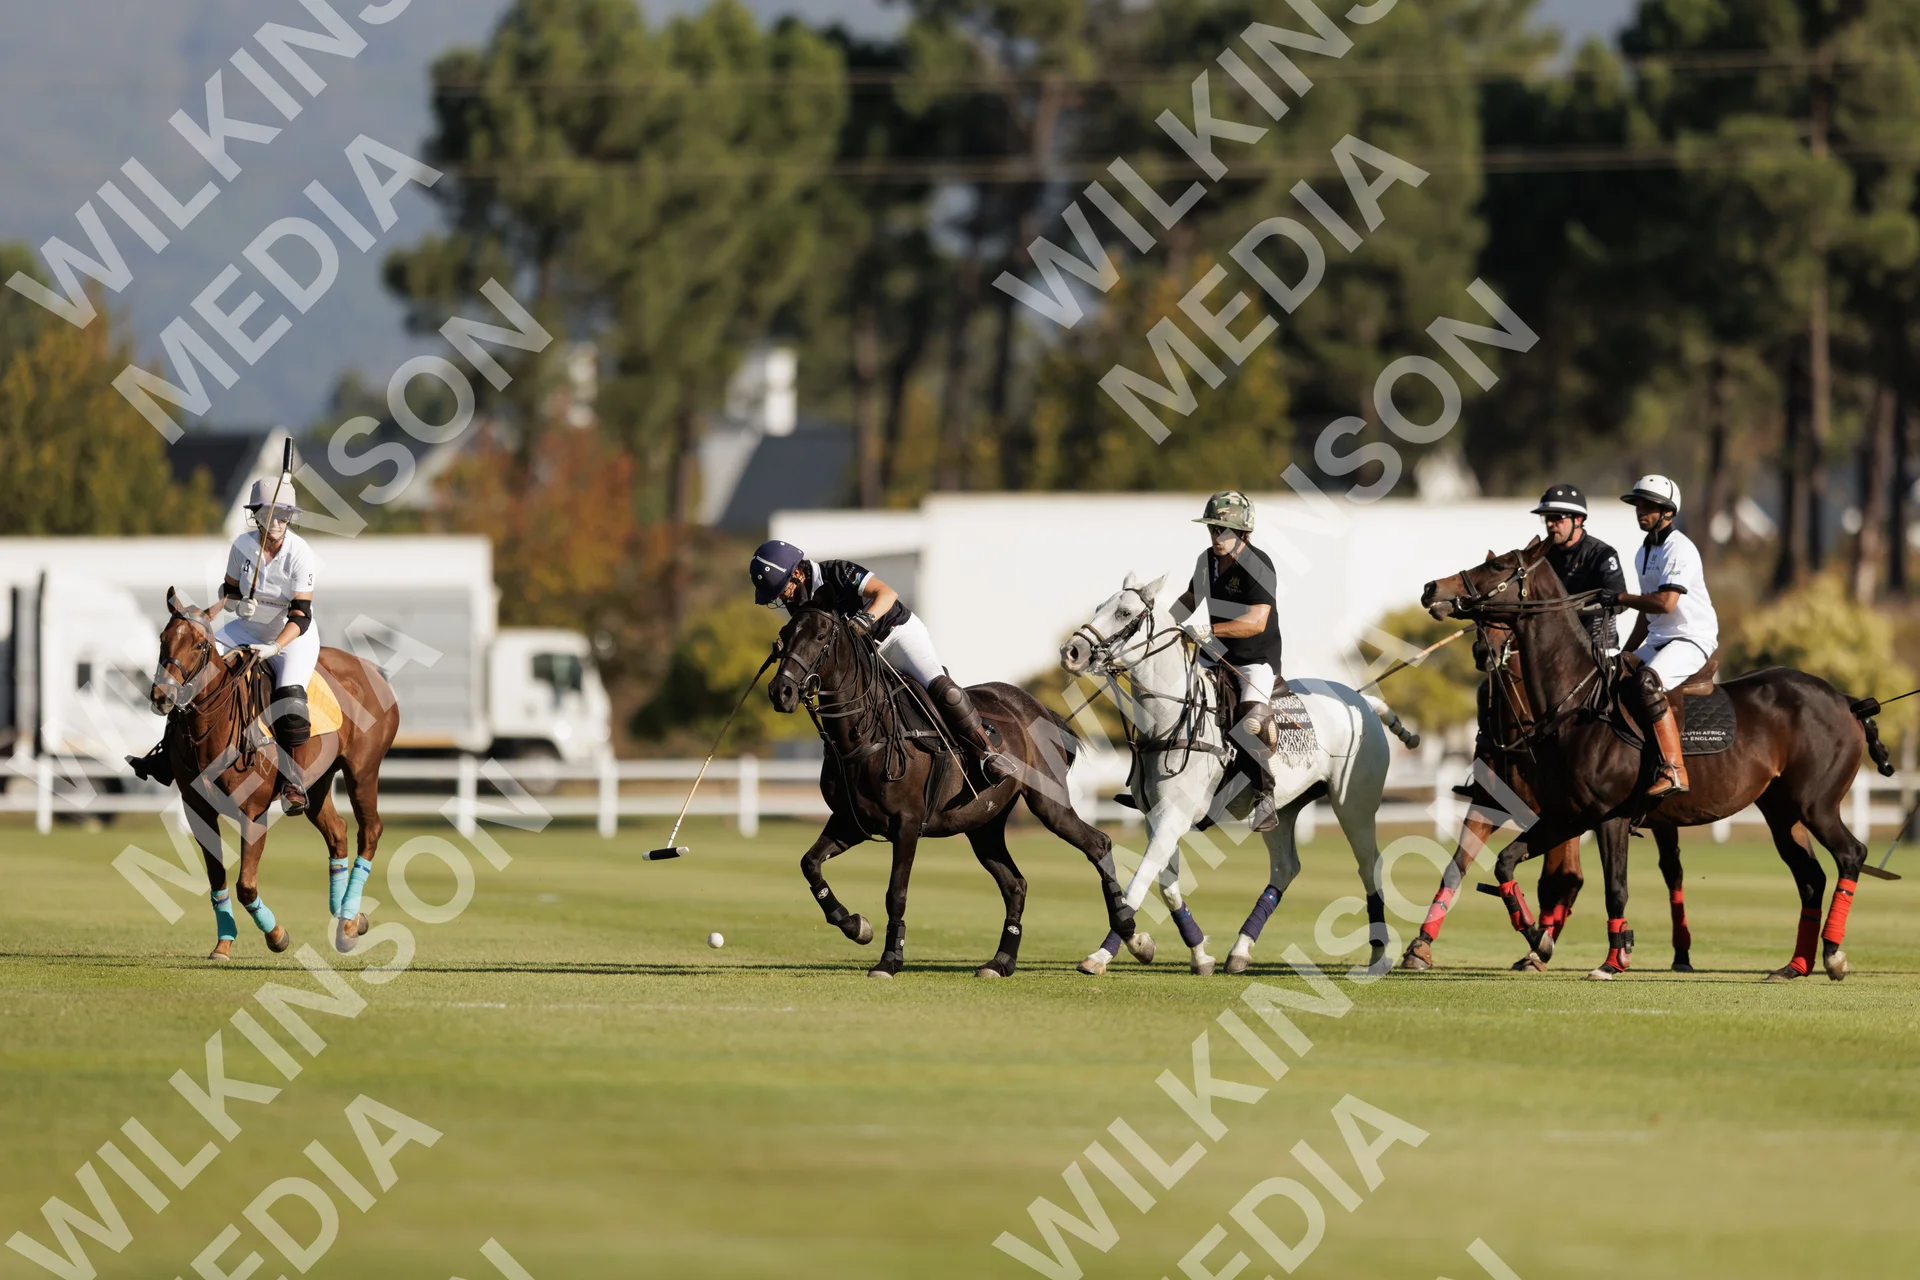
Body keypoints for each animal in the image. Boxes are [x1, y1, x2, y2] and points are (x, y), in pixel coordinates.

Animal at [147, 588, 400, 959]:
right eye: (163, 639)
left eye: (199, 644)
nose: (162, 697)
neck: (212, 723)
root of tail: (371, 669)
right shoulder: (198, 810)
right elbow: (217, 878)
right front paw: (223, 944)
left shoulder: (253, 814)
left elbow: (246, 885)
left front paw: (276, 935)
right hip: (317, 781)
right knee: (337, 832)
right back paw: (347, 918)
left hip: (363, 771)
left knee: (369, 831)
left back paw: (349, 921)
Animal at [766, 600, 1138, 978]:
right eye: (785, 633)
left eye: (820, 636)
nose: (781, 691)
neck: (864, 734)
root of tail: (1042, 709)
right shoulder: (851, 822)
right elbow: (810, 863)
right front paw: (856, 925)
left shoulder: (906, 824)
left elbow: (896, 893)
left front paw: (890, 960)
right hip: (983, 825)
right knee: (1015, 885)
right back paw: (1001, 961)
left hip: (1049, 804)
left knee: (1097, 844)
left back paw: (1131, 933)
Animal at [1058, 572, 1415, 977]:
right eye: (1099, 607)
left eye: (1124, 612)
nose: (1071, 651)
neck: (1169, 719)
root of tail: (1362, 702)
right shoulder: (1156, 818)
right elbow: (1167, 886)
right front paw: (1193, 954)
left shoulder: (1173, 817)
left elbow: (1141, 882)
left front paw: (1109, 953)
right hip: (1282, 809)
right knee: (1285, 867)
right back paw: (1240, 950)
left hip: (1354, 804)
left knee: (1369, 866)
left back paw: (1379, 953)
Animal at [1401, 601, 1697, 973]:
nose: (1484, 650)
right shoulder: (1490, 804)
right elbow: (1457, 866)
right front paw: (1420, 946)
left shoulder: (1562, 813)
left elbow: (1561, 878)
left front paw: (1540, 943)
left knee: (1671, 870)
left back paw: (1680, 954)